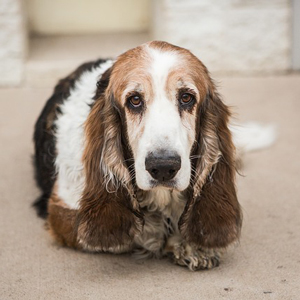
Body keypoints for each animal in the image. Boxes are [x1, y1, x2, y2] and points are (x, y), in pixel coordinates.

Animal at [33, 40, 244, 272]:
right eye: (134, 100)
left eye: (186, 98)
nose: (163, 167)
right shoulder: (61, 209)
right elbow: (138, 233)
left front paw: (194, 247)